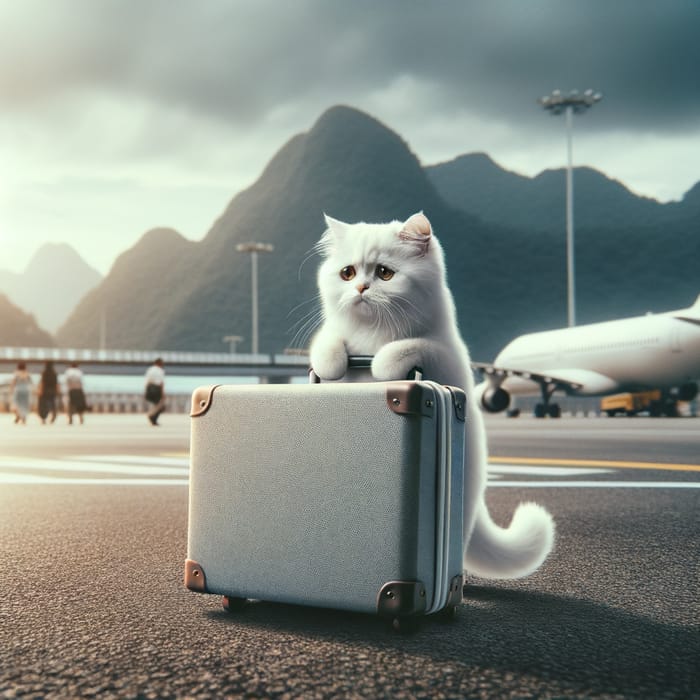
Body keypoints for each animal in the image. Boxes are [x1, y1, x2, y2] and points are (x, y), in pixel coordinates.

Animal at [308, 212, 556, 580]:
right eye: (347, 273)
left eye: (385, 273)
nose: (360, 288)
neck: (371, 335)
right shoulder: (331, 337)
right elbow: (326, 341)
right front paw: (331, 359)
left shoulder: (444, 354)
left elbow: (410, 345)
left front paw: (383, 362)